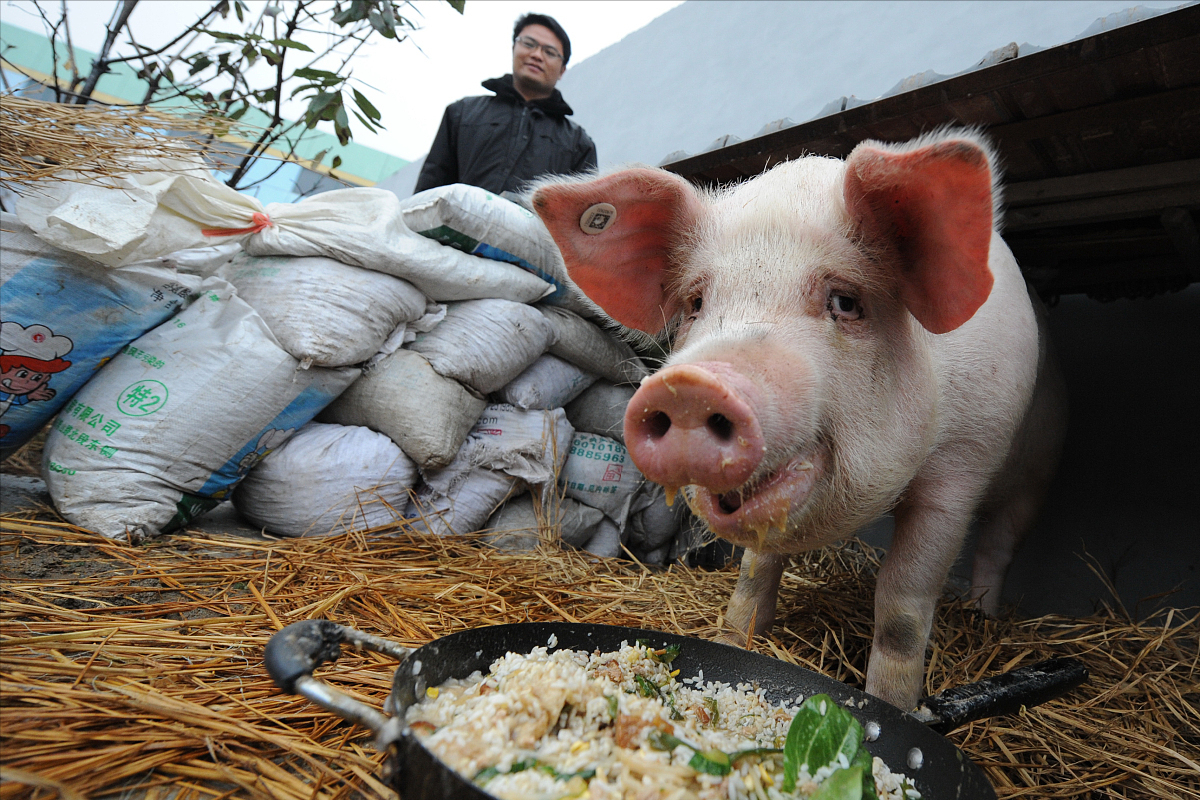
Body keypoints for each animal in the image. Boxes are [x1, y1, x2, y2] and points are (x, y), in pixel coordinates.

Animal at [535, 131, 1070, 714]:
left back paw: (981, 613)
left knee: (999, 544)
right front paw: (732, 640)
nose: (692, 387)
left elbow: (903, 603)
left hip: (1040, 465)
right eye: (697, 301)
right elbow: (754, 569)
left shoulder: (960, 468)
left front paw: (896, 705)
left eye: (846, 302)